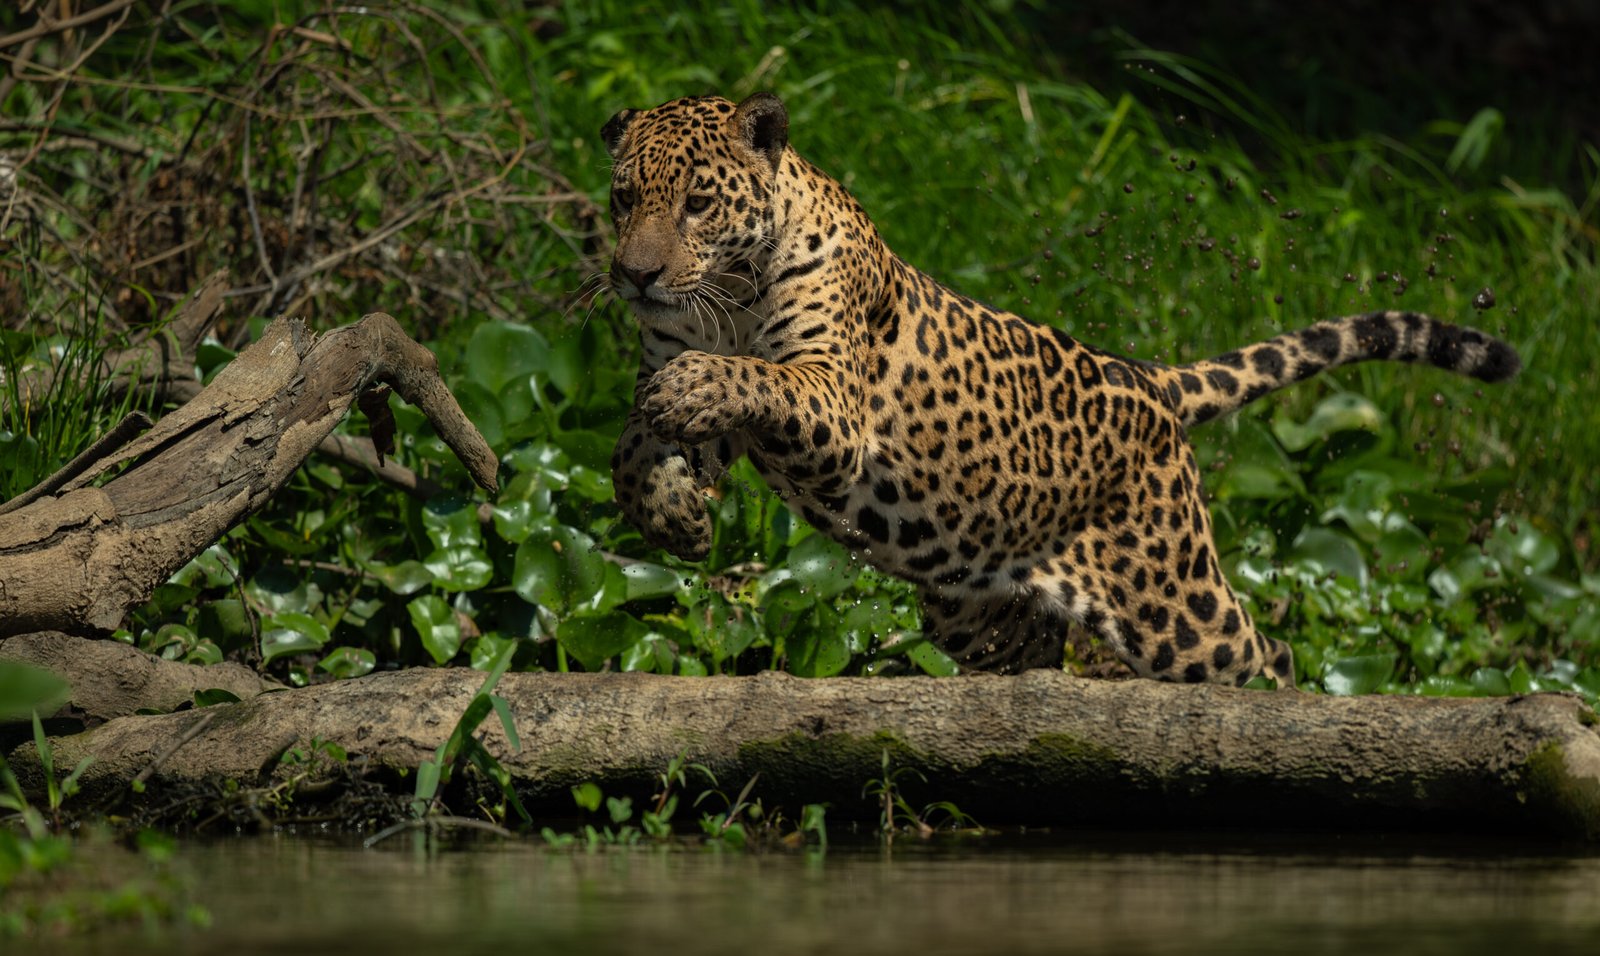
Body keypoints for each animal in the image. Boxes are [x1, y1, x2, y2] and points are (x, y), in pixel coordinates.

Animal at [601, 92, 1521, 688]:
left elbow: (751, 377)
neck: (727, 295)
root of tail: (1153, 380)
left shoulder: (834, 402)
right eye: (623, 199)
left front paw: (695, 405)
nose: (635, 275)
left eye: (698, 202)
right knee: (1034, 653)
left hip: (1176, 604)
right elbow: (629, 448)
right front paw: (678, 520)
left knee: (1265, 654)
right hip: (971, 605)